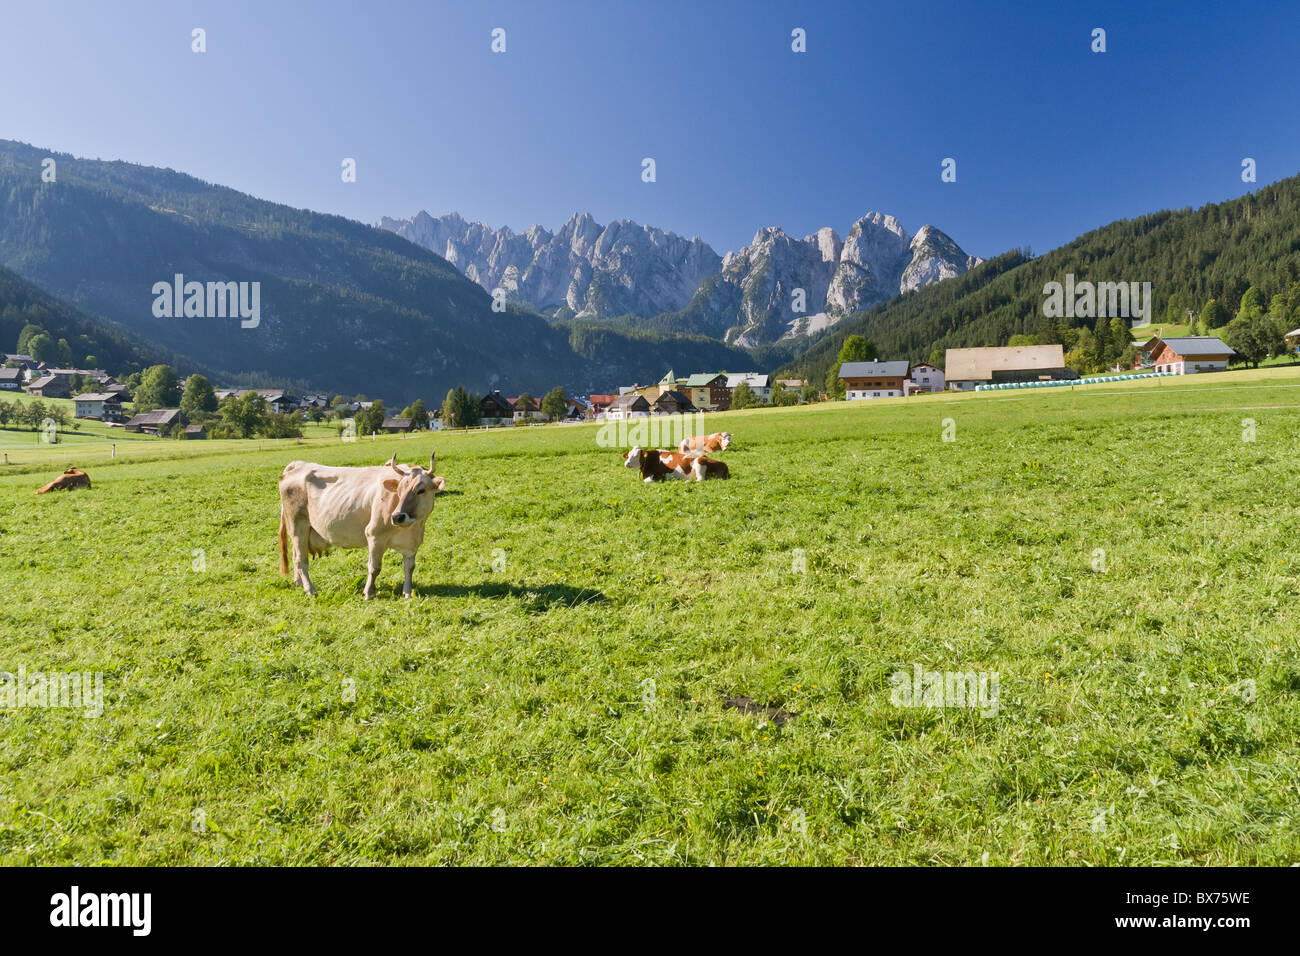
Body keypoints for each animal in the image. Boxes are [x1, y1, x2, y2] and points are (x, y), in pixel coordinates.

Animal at [279, 450, 447, 598]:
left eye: (421, 490)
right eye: (398, 490)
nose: (397, 516)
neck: (412, 528)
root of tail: (299, 464)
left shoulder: (412, 543)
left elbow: (409, 568)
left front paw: (407, 593)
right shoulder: (374, 535)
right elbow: (374, 568)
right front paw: (369, 593)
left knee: (295, 556)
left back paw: (299, 583)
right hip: (297, 525)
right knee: (301, 560)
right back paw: (310, 590)